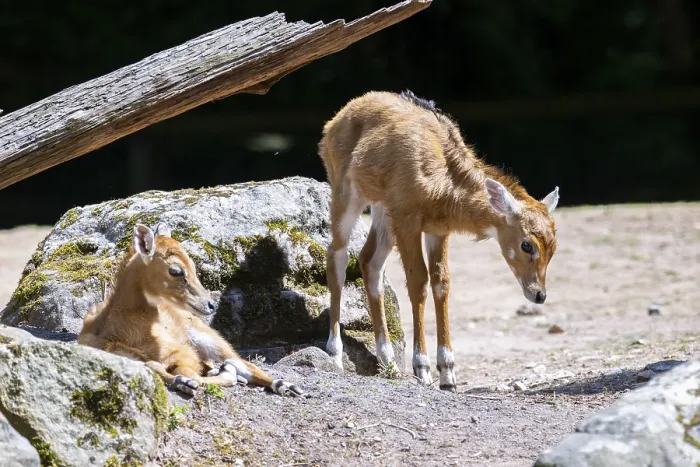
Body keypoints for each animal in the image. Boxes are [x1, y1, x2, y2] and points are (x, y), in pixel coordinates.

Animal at [78, 222, 303, 397]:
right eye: (175, 270)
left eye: (193, 265)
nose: (210, 304)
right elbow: (157, 368)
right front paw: (184, 382)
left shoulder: (181, 351)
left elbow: (189, 372)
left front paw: (193, 381)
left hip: (209, 338)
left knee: (243, 363)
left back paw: (287, 386)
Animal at [318, 90, 560, 392]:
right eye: (527, 244)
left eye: (553, 247)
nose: (539, 294)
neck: (443, 178)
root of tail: (334, 121)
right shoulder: (408, 219)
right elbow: (418, 282)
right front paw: (422, 369)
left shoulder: (437, 229)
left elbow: (441, 283)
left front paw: (448, 374)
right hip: (347, 194)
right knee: (337, 256)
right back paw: (335, 353)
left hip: (383, 212)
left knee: (369, 261)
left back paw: (388, 360)